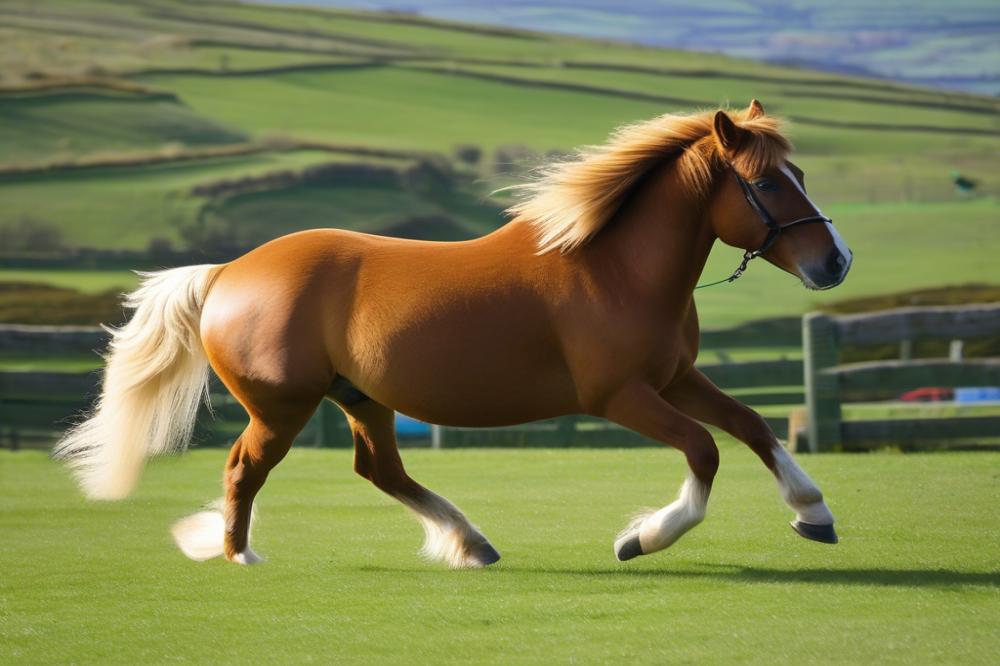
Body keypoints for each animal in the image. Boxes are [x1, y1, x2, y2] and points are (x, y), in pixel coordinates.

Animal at [54, 100, 852, 564]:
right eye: (768, 183)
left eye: (802, 174)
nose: (835, 262)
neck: (615, 269)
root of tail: (228, 272)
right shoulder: (620, 397)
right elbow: (704, 449)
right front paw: (642, 537)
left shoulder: (675, 378)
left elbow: (751, 425)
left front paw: (814, 512)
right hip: (281, 407)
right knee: (245, 468)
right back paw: (238, 554)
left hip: (361, 397)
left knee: (380, 471)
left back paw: (471, 542)